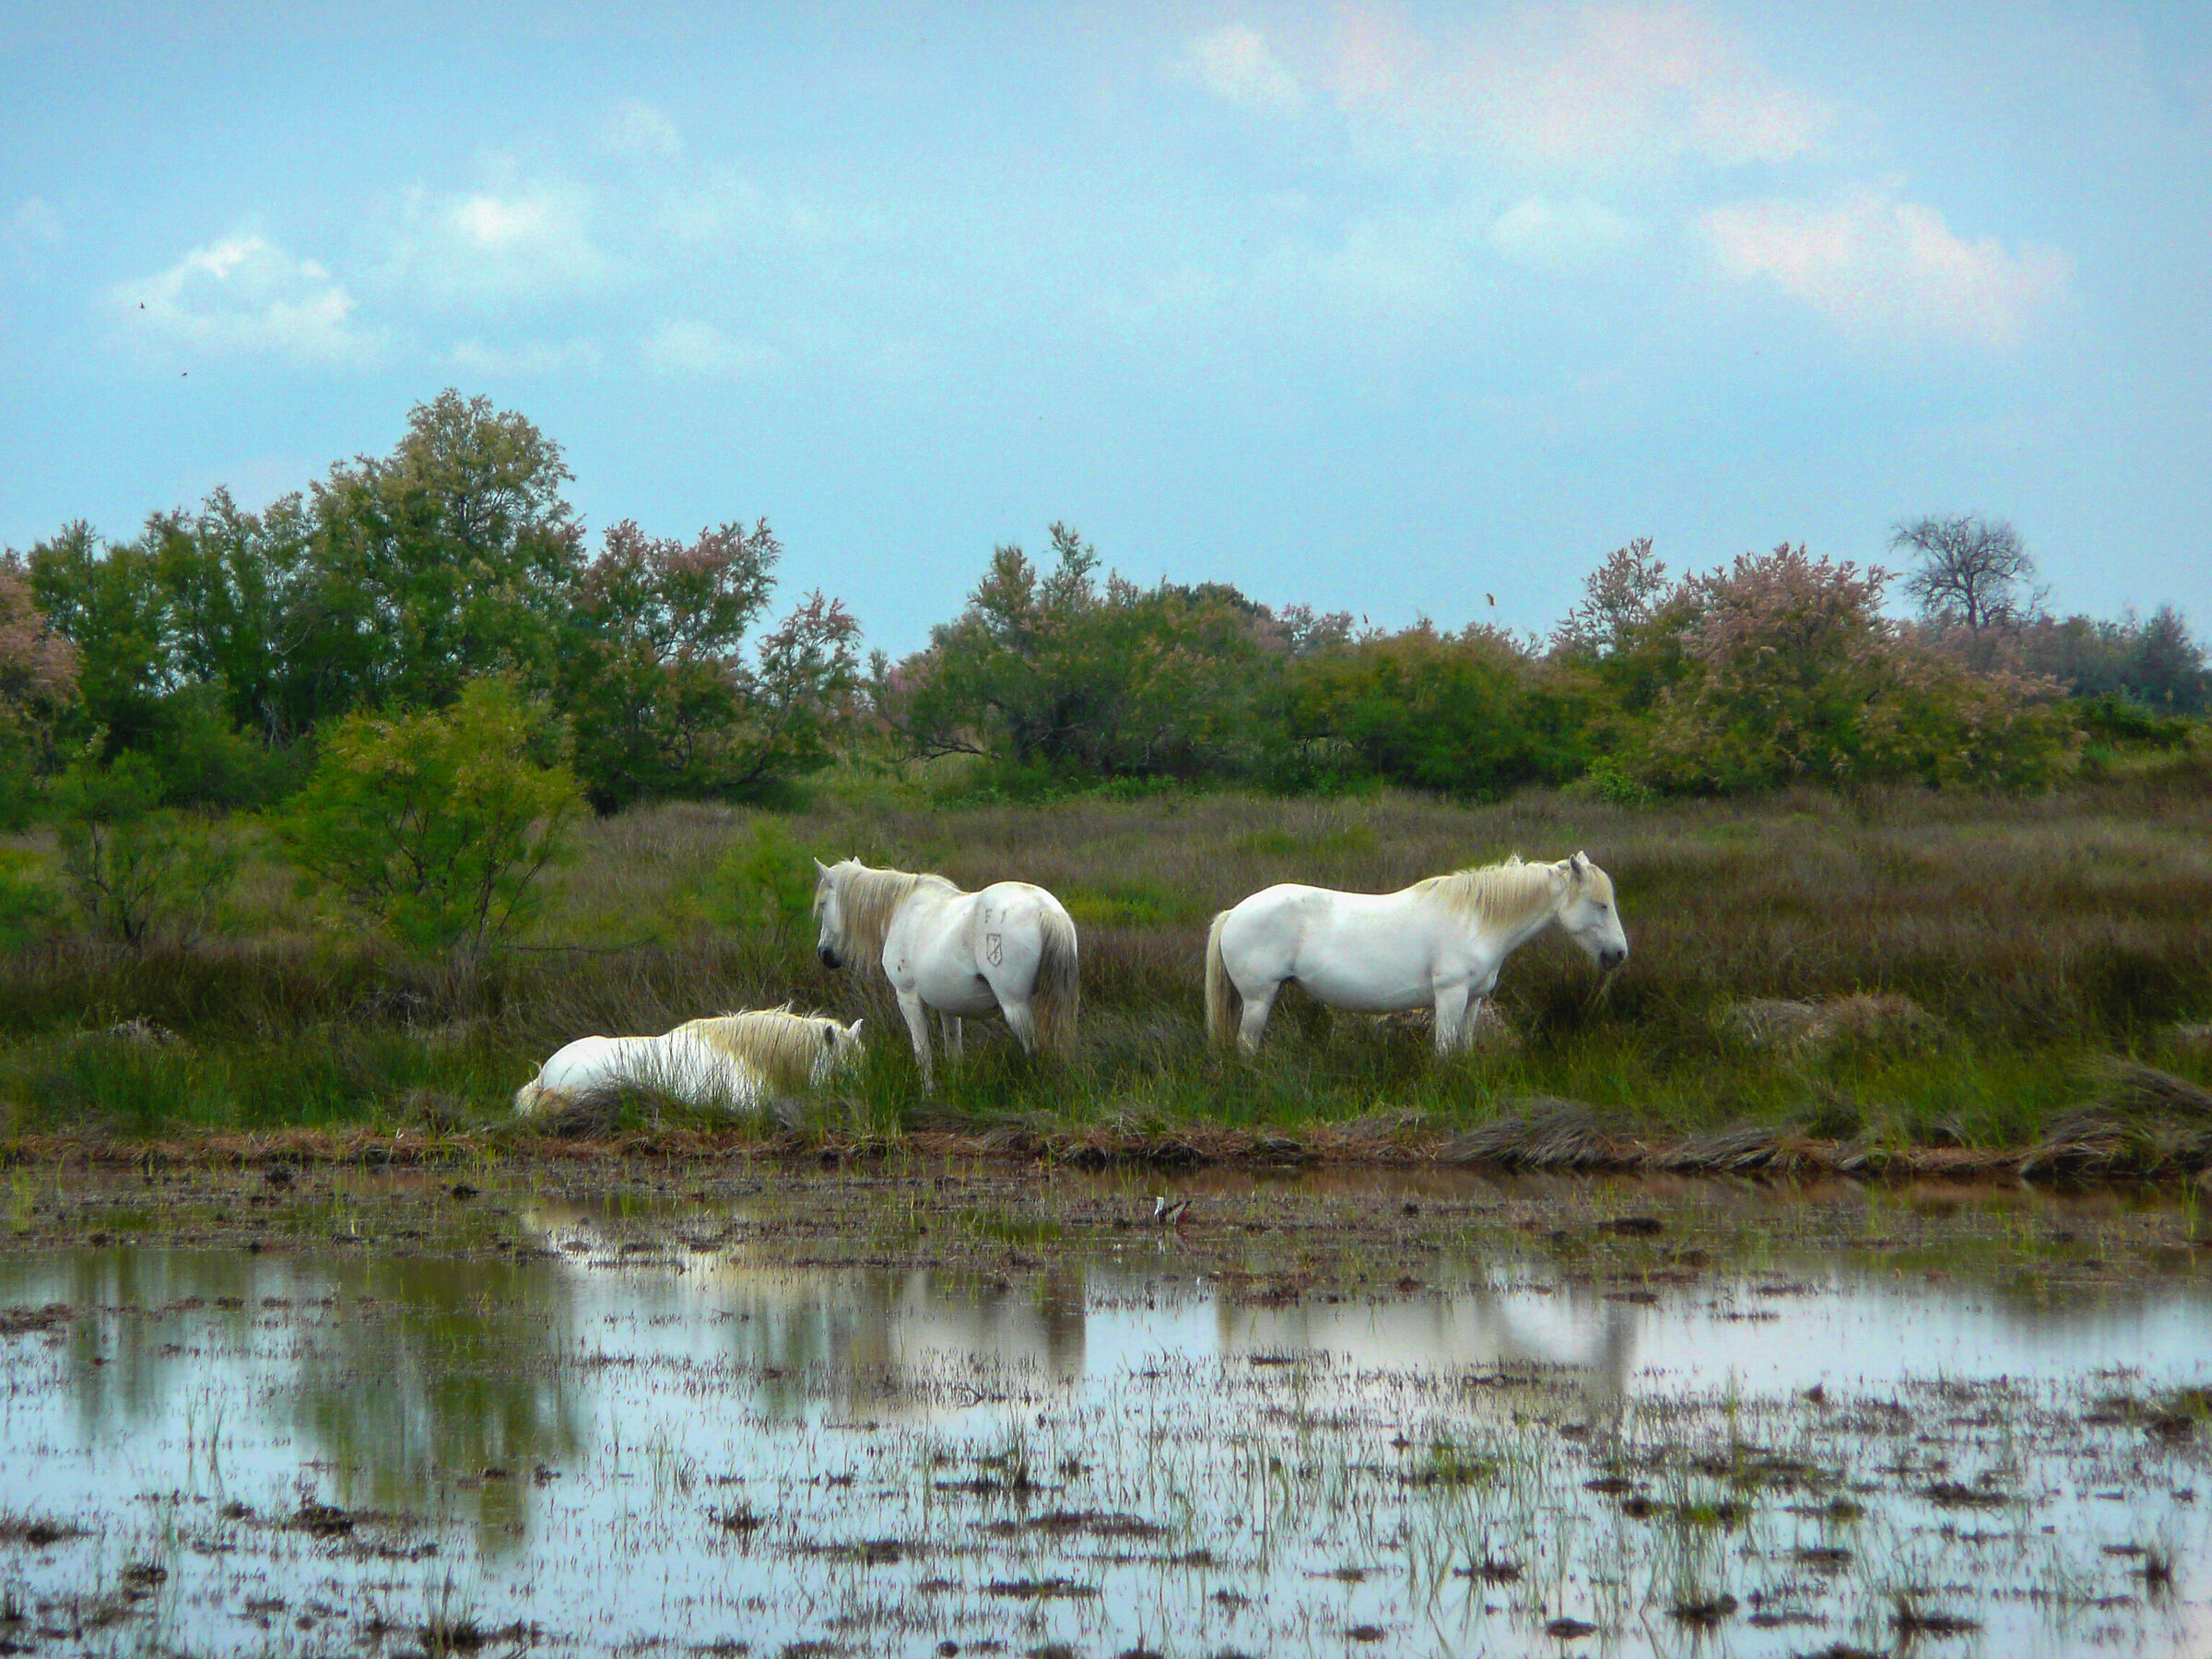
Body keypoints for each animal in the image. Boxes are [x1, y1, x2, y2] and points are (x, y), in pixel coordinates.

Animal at [812, 857, 1079, 1088]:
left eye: (823, 904)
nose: (824, 954)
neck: (901, 907)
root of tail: (1047, 911)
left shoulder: (907, 997)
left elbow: (923, 1053)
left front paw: (928, 1093)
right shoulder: (949, 1006)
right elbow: (954, 1053)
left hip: (1016, 1006)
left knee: (1035, 1048)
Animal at [1204, 852, 1628, 1057]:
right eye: (1600, 904)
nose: (1618, 954)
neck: (1476, 920)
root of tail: (1234, 912)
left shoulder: (1472, 1000)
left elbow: (1462, 1049)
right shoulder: (1450, 995)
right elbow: (1443, 1050)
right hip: (1259, 999)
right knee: (1246, 1046)